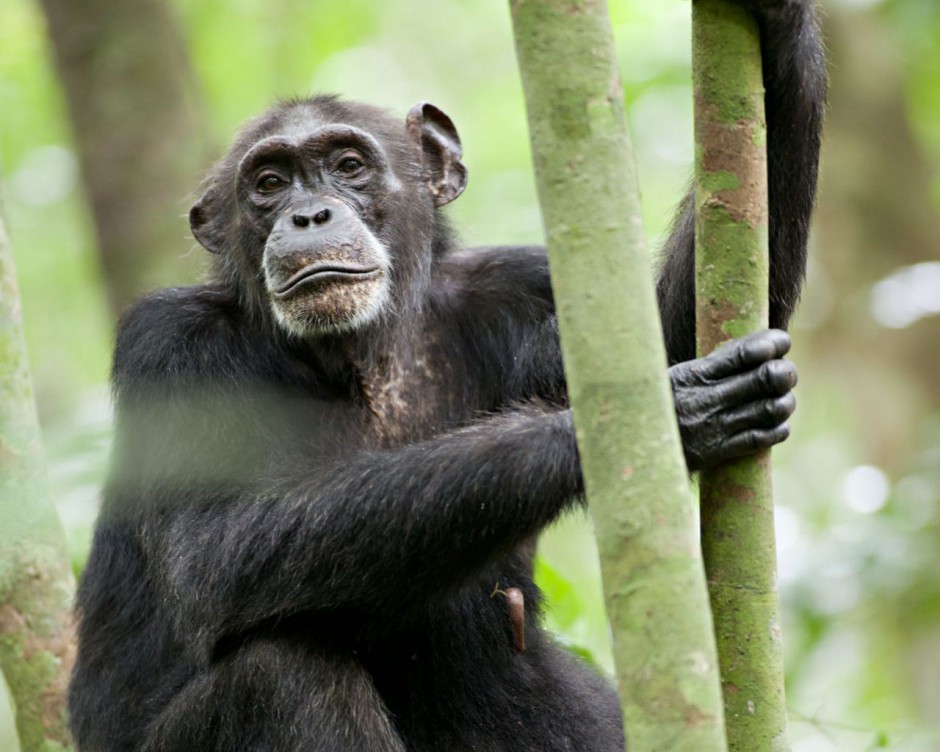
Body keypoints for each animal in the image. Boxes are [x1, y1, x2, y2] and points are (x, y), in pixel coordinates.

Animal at [70, 2, 828, 748]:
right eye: (268, 183)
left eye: (348, 165)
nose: (308, 214)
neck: (363, 351)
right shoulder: (170, 345)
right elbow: (211, 548)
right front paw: (658, 418)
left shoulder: (524, 290)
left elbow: (665, 331)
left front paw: (785, 24)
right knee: (278, 675)